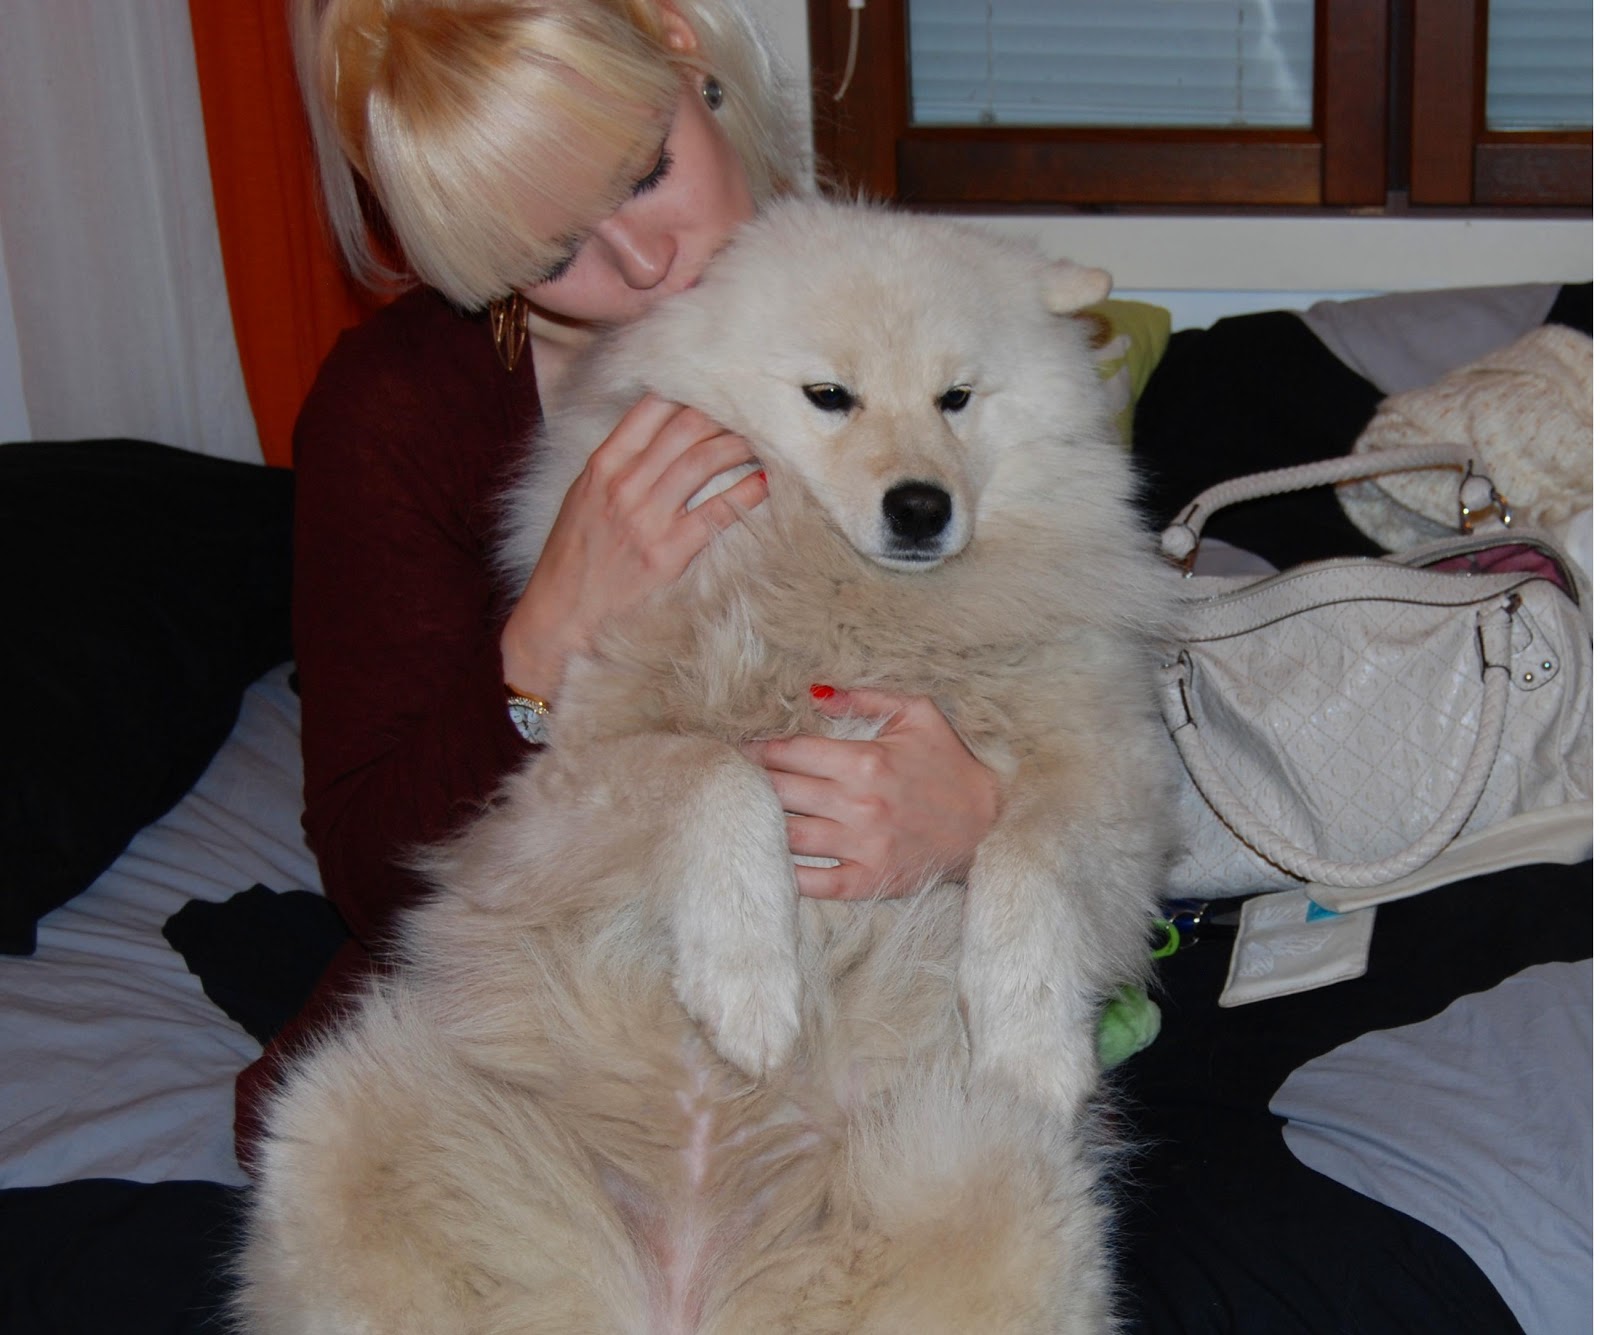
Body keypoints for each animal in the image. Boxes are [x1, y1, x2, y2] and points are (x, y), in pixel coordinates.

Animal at [238, 198, 1176, 1333]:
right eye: (830, 395)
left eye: (957, 398)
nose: (920, 508)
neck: (843, 604)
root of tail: (684, 1290)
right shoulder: (557, 788)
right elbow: (716, 778)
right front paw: (748, 986)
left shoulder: (1110, 777)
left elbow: (1024, 856)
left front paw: (1031, 1042)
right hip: (341, 1116)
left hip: (977, 1169)